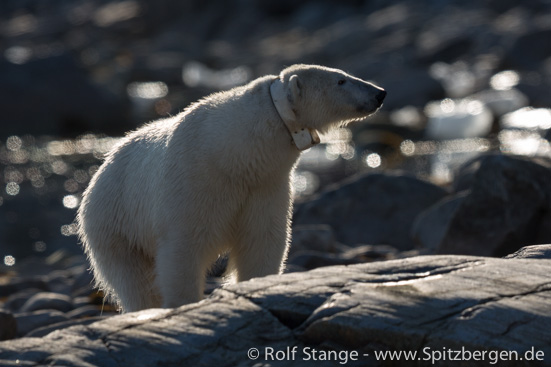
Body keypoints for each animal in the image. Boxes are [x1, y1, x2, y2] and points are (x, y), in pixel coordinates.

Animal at [77, 64, 386, 312]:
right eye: (341, 80)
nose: (380, 93)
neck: (234, 154)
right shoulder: (194, 183)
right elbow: (183, 248)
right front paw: (183, 304)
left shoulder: (266, 185)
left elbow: (262, 241)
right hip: (116, 223)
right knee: (133, 280)